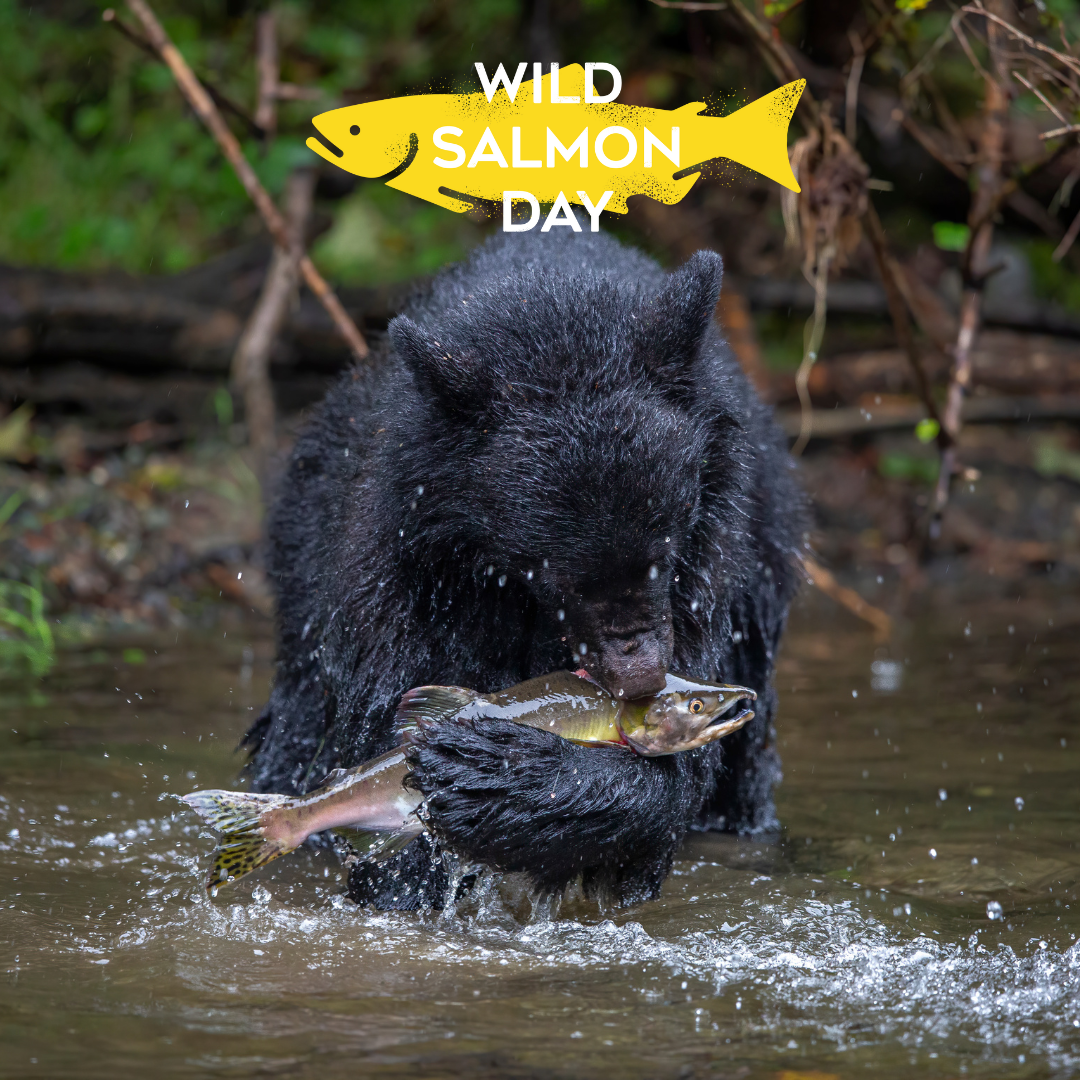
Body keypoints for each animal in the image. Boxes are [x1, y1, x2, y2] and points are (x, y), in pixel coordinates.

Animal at [244, 228, 806, 910]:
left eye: (663, 554)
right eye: (559, 573)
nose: (642, 675)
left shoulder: (711, 559)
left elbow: (675, 776)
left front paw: (510, 778)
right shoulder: (406, 563)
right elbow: (388, 703)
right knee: (297, 722)